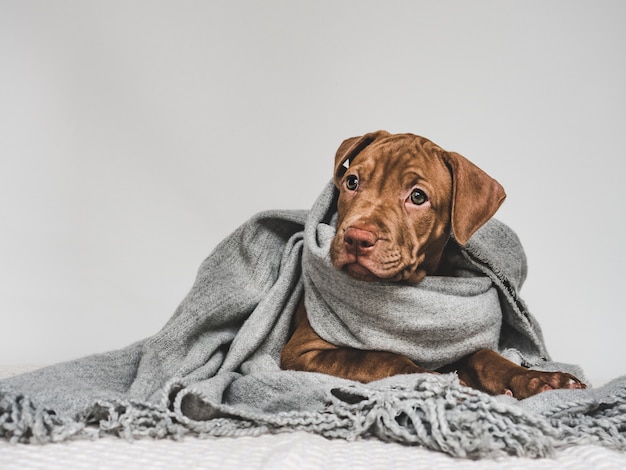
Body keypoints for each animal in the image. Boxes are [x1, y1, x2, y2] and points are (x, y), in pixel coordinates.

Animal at [280, 130, 584, 398]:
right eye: (352, 182)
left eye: (417, 197)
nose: (356, 238)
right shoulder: (302, 352)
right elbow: (380, 357)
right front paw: (438, 381)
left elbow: (486, 356)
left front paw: (537, 379)